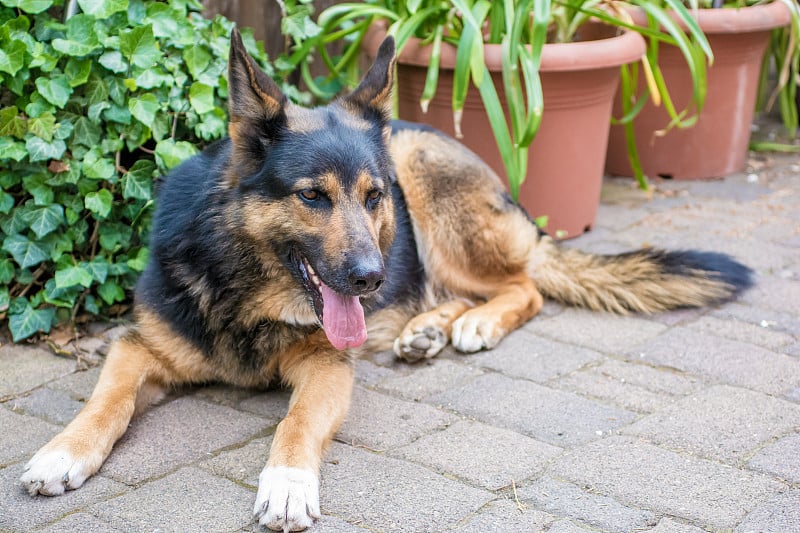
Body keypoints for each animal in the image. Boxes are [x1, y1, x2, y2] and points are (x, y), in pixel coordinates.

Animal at [21, 28, 752, 528]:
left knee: (524, 285)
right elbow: (106, 401)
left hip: (429, 192)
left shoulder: (327, 367)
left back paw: (474, 323)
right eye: (312, 196)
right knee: (458, 291)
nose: (370, 279)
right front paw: (62, 453)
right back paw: (425, 330)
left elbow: (296, 424)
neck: (247, 287)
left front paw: (286, 483)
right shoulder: (137, 347)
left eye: (373, 196)